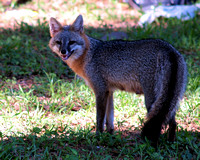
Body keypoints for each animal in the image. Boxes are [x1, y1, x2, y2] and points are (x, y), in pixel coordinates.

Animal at [48, 14, 188, 145]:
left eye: (71, 42)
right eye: (59, 42)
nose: (63, 51)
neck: (89, 54)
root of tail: (169, 49)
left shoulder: (100, 91)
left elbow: (100, 119)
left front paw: (98, 137)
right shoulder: (109, 91)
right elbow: (110, 119)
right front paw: (110, 136)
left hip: (151, 101)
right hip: (168, 102)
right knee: (173, 123)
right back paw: (170, 142)